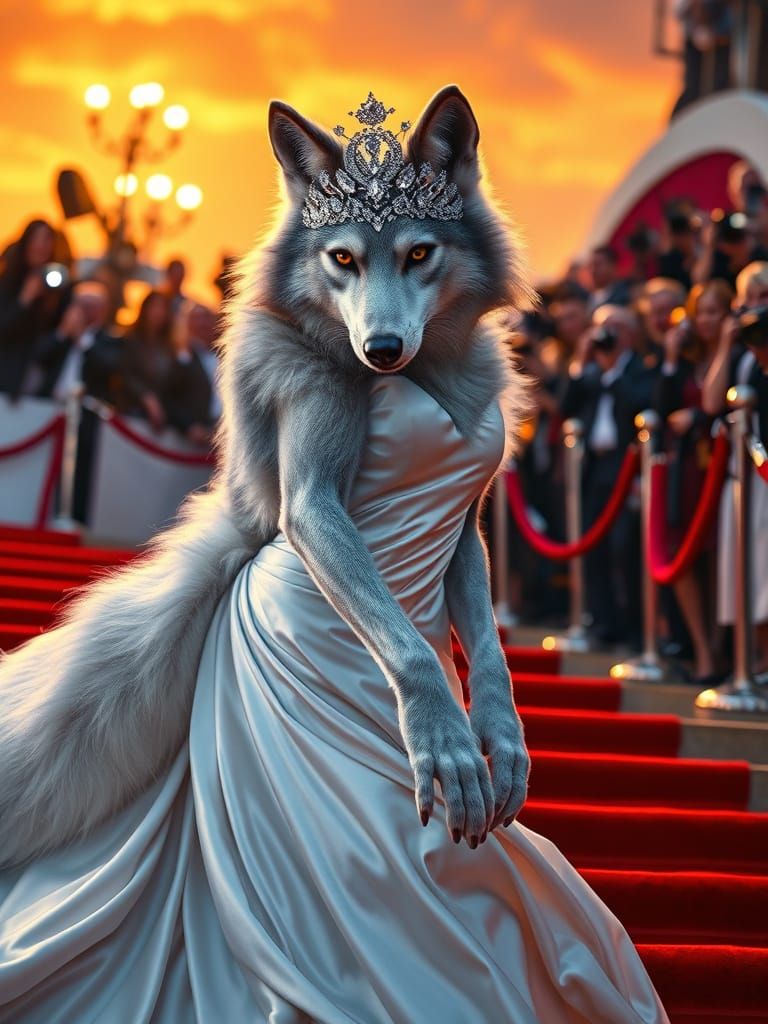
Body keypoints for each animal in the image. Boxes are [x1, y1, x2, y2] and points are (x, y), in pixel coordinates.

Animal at [0, 85, 536, 868]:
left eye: (419, 253)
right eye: (341, 257)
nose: (379, 349)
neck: (431, 372)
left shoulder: (467, 524)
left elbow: (490, 657)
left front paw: (501, 738)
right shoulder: (310, 436)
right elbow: (413, 651)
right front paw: (443, 735)